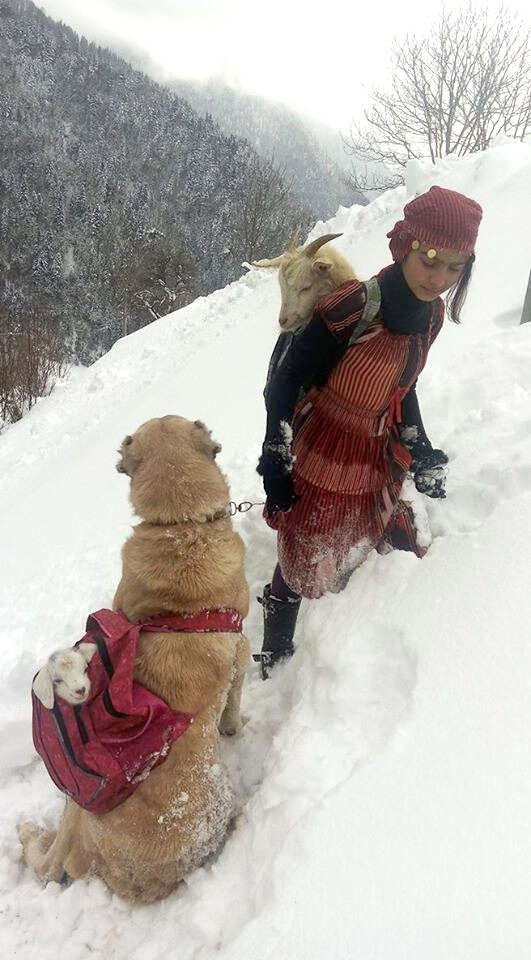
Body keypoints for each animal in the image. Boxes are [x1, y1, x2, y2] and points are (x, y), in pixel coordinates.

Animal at [17, 412, 249, 900]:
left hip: (80, 808)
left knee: (51, 861)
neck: (181, 527)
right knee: (49, 861)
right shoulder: (243, 650)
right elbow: (235, 702)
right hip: (81, 811)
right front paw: (233, 726)